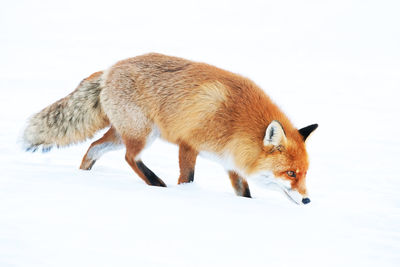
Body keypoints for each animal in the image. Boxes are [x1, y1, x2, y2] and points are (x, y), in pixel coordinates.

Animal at [24, 52, 318, 205]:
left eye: (304, 174)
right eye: (291, 173)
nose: (307, 201)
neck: (235, 123)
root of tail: (109, 69)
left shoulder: (231, 162)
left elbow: (243, 193)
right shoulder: (188, 144)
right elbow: (187, 178)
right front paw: (184, 196)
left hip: (122, 134)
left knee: (94, 148)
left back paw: (83, 177)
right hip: (143, 134)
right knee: (130, 157)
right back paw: (156, 184)